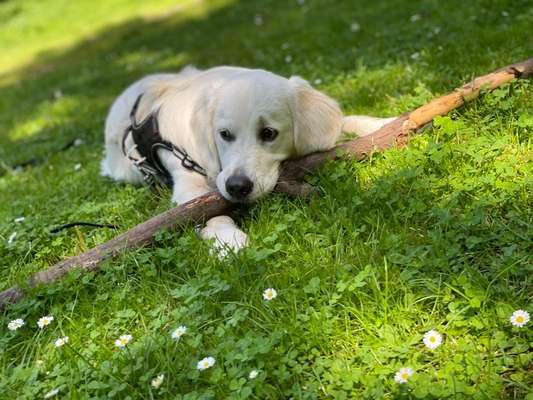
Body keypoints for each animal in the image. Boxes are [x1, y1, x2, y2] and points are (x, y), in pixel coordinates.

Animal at [101, 64, 394, 255]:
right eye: (224, 134)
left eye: (269, 133)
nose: (237, 187)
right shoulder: (187, 182)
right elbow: (209, 213)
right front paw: (228, 240)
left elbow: (349, 119)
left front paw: (384, 123)